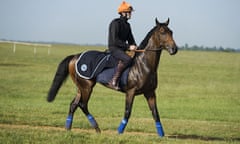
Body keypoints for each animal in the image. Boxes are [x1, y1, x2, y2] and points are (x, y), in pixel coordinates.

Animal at [47, 17, 178, 137]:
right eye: (162, 32)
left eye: (171, 32)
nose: (174, 49)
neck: (143, 64)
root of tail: (75, 56)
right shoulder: (130, 92)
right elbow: (127, 112)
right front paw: (119, 132)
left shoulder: (150, 92)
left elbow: (155, 113)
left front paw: (161, 135)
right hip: (87, 87)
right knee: (83, 105)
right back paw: (97, 128)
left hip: (81, 87)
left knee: (73, 105)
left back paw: (68, 128)